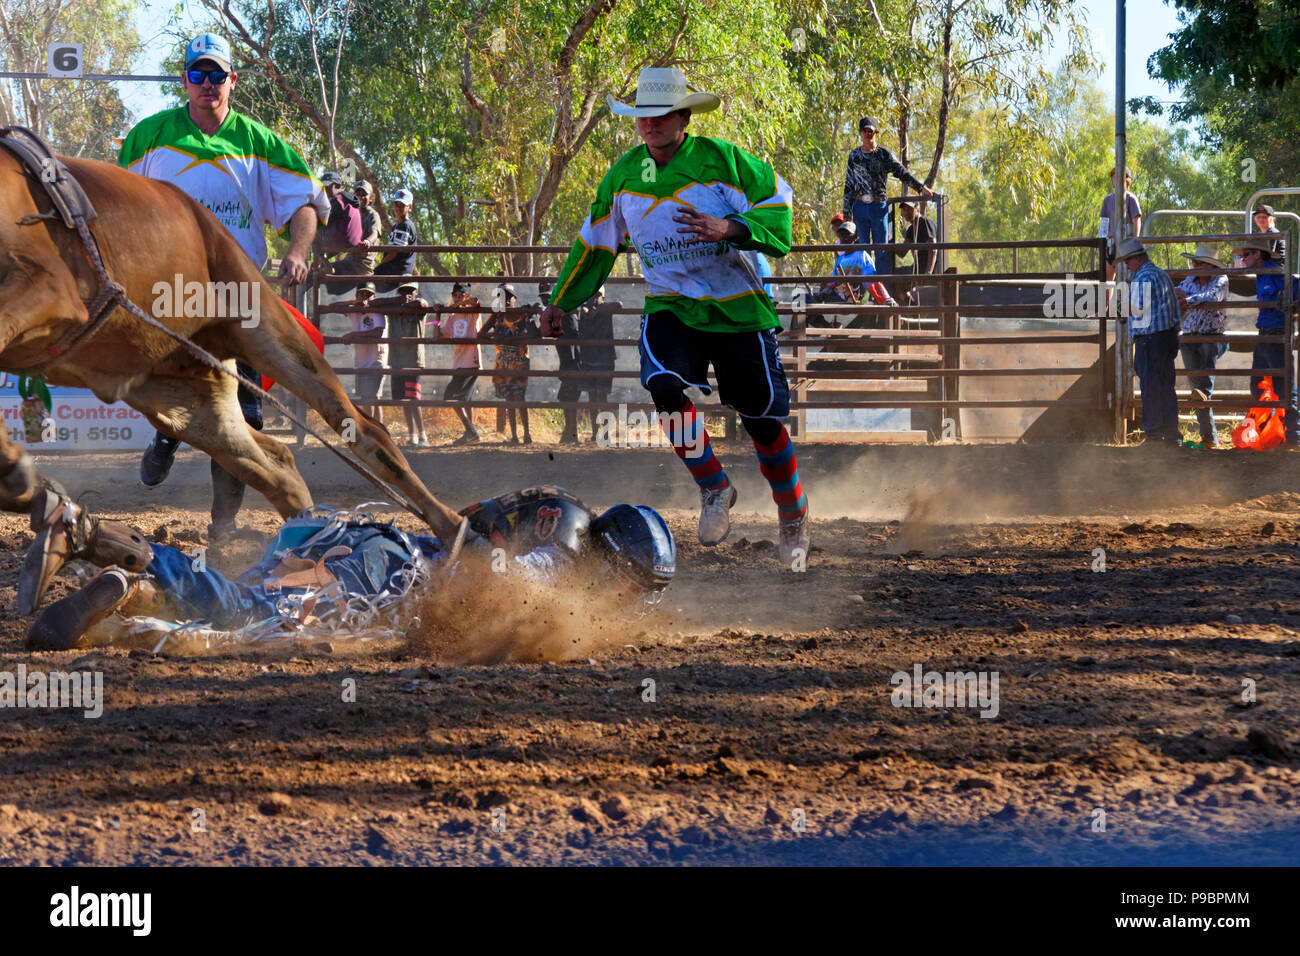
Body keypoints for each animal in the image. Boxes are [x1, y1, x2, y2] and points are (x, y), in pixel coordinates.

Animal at [0, 148, 465, 548]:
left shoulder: (47, 286)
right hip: (186, 396)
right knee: (275, 467)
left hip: (267, 332)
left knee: (363, 431)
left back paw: (454, 530)